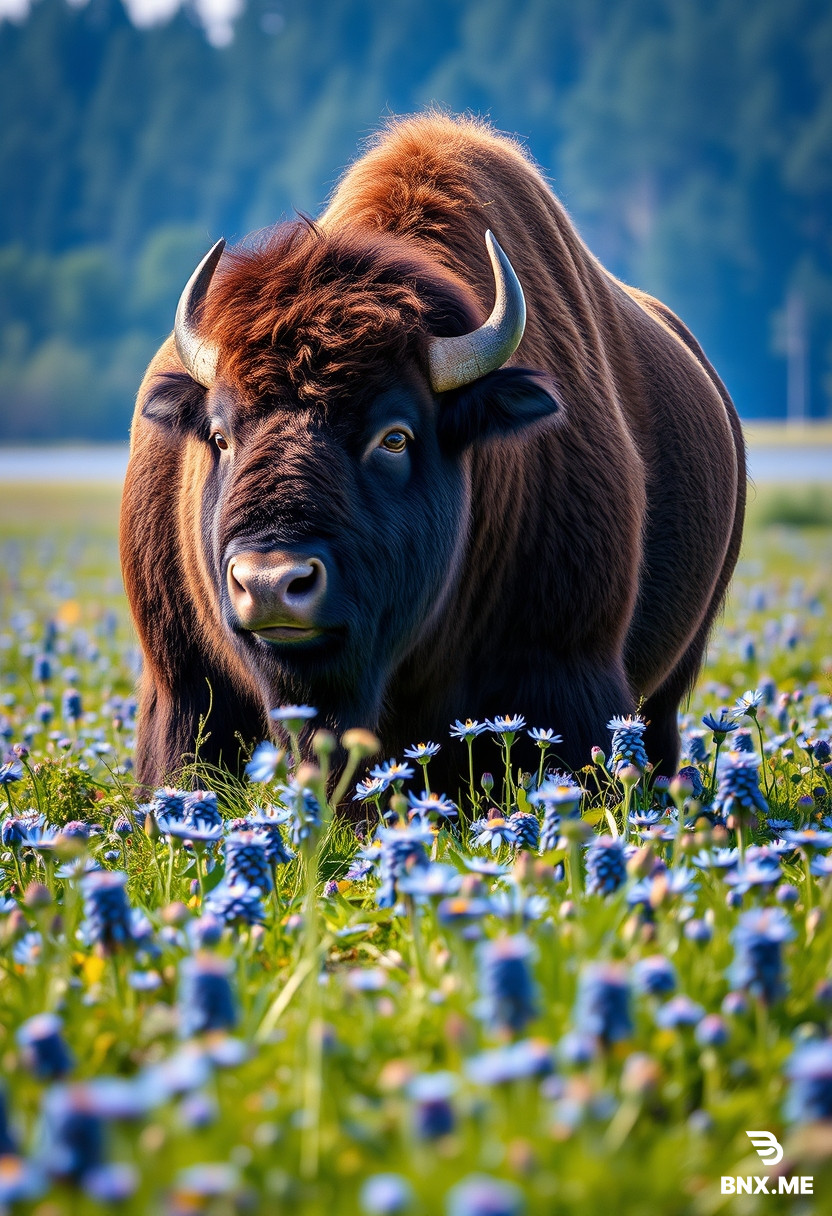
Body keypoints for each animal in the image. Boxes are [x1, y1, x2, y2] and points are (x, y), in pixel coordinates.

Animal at [121, 112, 745, 793]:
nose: (269, 581)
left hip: (668, 690)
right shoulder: (185, 688)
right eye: (221, 436)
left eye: (394, 436)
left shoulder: (567, 671)